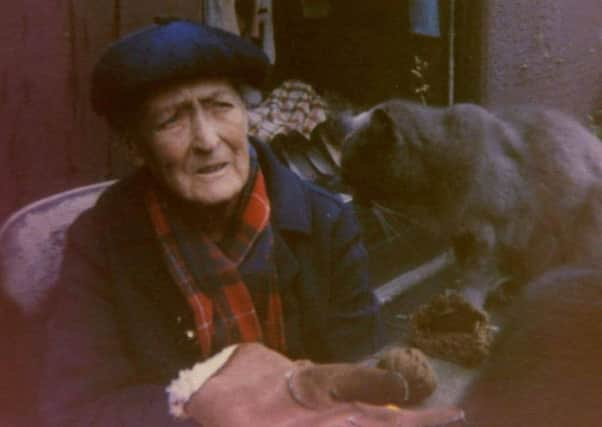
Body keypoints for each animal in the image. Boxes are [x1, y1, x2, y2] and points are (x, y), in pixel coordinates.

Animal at [336, 100, 600, 308]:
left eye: (356, 176)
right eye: (345, 176)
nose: (355, 200)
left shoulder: (485, 232)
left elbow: (476, 274)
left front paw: (467, 305)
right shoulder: (461, 234)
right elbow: (466, 268)